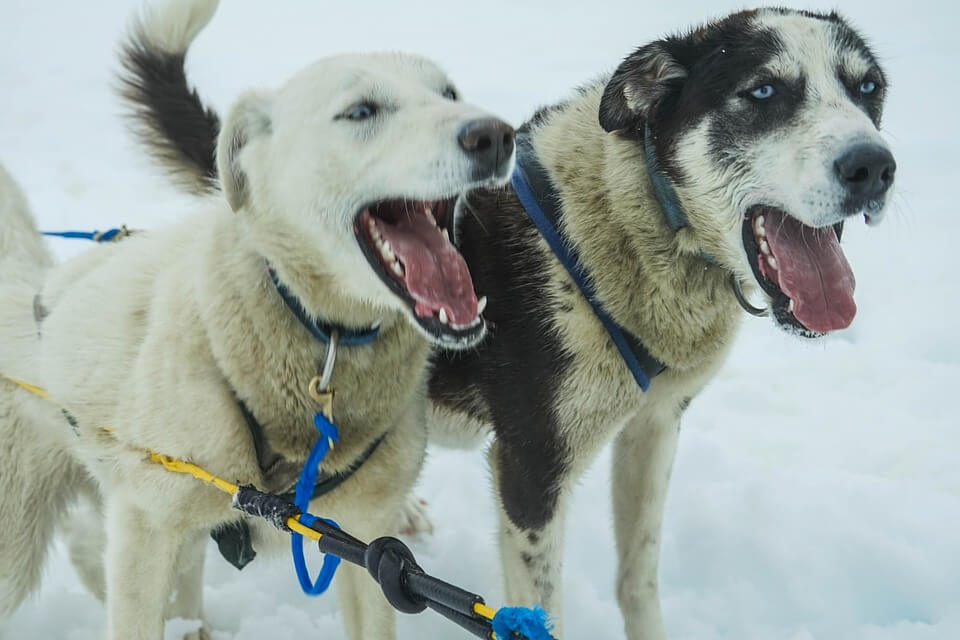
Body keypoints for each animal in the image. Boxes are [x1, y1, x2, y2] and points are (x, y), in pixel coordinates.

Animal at [79, 5, 896, 640]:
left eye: (869, 89)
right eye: (763, 91)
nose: (874, 167)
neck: (633, 223)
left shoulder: (653, 426)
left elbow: (638, 576)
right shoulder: (532, 470)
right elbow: (540, 609)